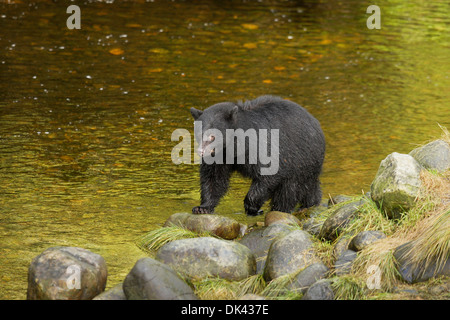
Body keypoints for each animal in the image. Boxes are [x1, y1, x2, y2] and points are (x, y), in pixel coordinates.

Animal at [189, 95, 324, 215]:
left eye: (213, 136)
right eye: (199, 134)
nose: (201, 151)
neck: (235, 144)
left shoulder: (262, 145)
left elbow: (269, 172)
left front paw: (251, 206)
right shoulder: (220, 155)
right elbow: (213, 177)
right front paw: (203, 207)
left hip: (301, 161)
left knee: (288, 190)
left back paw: (281, 209)